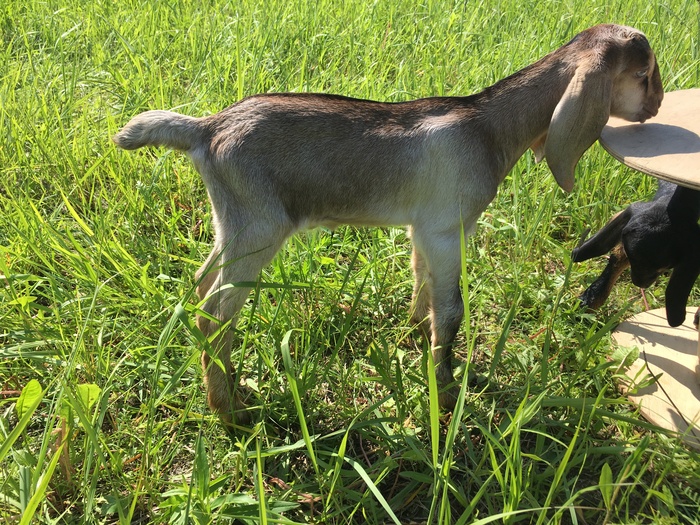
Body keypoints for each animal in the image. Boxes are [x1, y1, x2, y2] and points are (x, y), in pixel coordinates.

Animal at [113, 24, 663, 426]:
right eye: (643, 73)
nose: (657, 105)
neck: (487, 124)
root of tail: (206, 128)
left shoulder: (426, 229)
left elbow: (423, 283)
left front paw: (415, 336)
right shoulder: (447, 229)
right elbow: (453, 309)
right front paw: (447, 390)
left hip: (232, 225)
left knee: (201, 285)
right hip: (259, 230)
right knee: (214, 314)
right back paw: (230, 413)